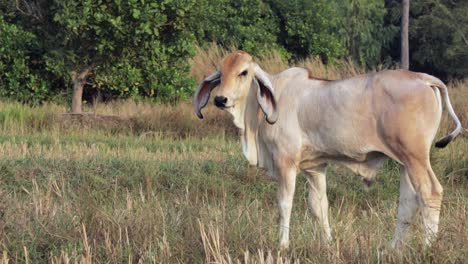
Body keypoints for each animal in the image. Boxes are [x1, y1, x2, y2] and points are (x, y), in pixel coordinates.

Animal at [192, 50, 462, 249]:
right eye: (221, 73)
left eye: (244, 72)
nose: (220, 99)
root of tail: (423, 78)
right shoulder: (315, 168)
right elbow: (319, 206)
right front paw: (328, 244)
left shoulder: (285, 163)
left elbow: (284, 204)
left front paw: (282, 245)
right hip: (406, 161)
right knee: (408, 201)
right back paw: (393, 248)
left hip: (416, 157)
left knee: (430, 193)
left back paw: (427, 247)